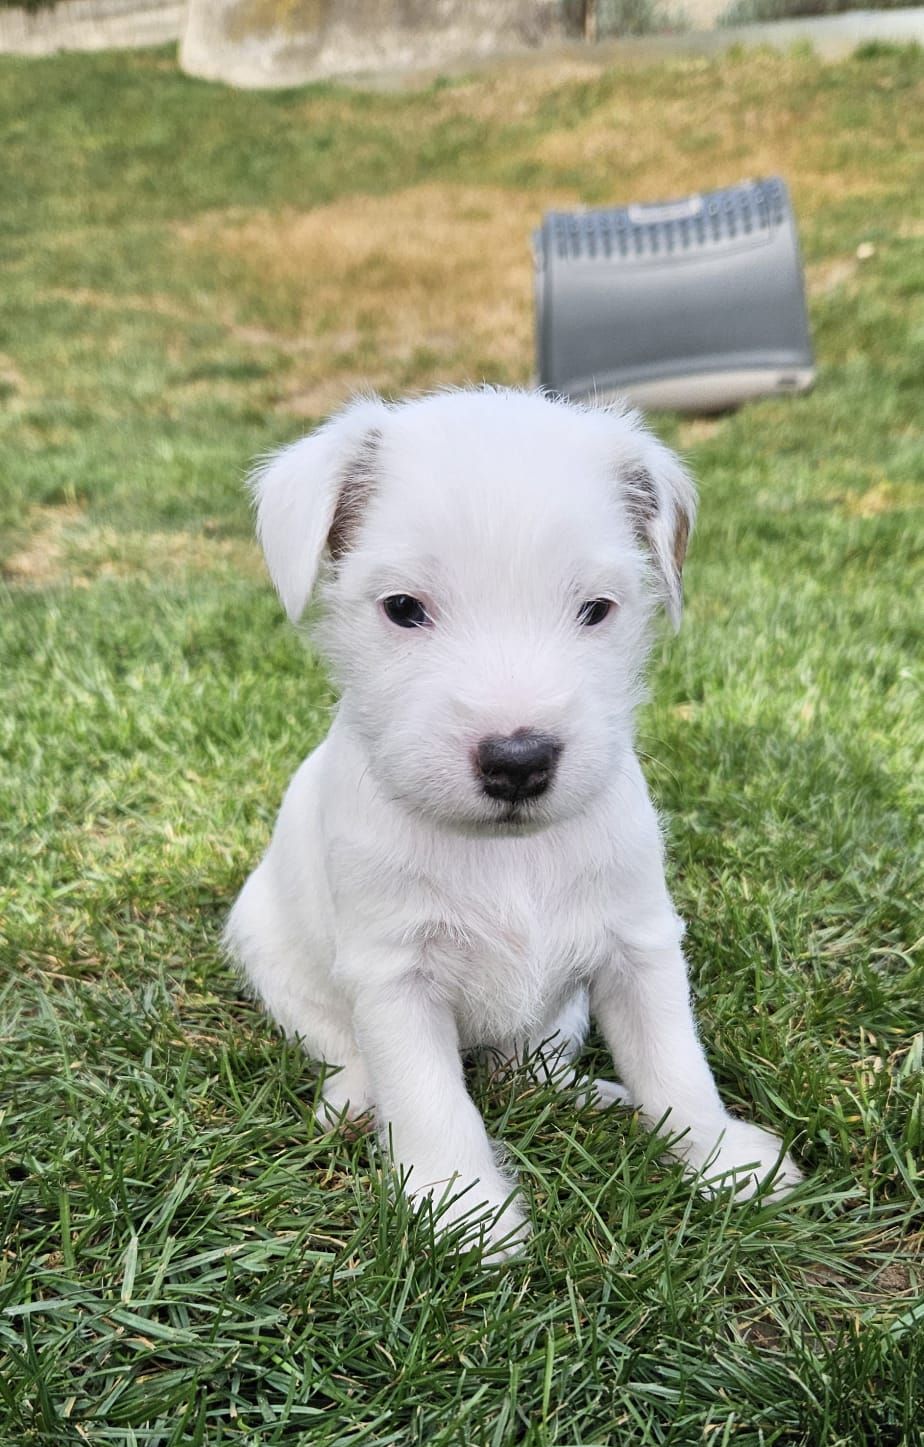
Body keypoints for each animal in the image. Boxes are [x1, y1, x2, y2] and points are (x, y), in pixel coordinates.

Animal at [226, 387, 802, 1257]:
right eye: (403, 609)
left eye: (596, 609)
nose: (519, 759)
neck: (507, 852)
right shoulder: (395, 977)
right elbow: (429, 1096)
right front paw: (462, 1206)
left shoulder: (638, 946)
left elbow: (674, 1062)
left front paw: (723, 1156)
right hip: (279, 963)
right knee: (344, 1047)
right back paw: (354, 1099)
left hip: (562, 1015)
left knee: (535, 1062)